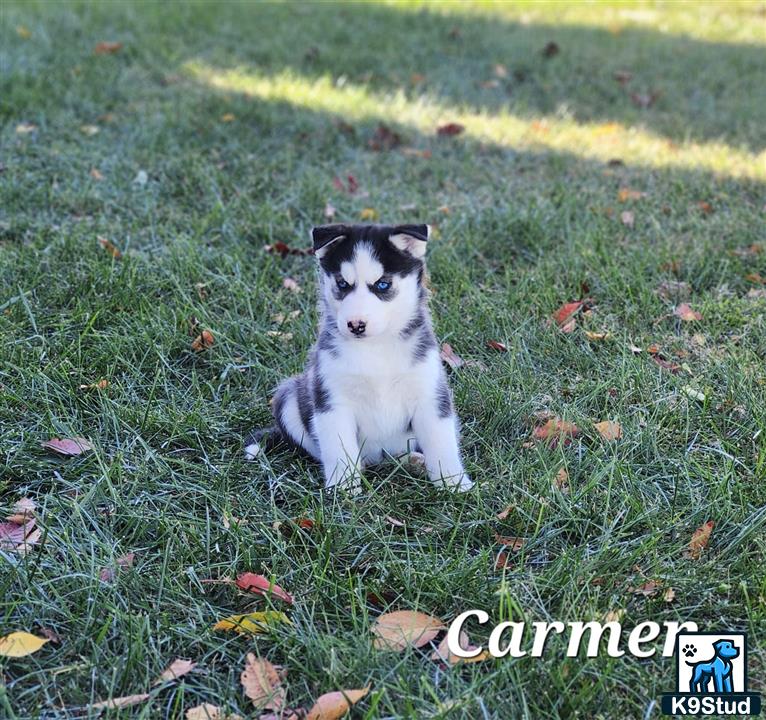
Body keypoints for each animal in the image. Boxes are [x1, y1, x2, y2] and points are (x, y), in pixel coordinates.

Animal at [248, 224, 474, 496]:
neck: (375, 348)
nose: (356, 325)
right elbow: (338, 448)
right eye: (342, 284)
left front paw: (454, 483)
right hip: (289, 396)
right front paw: (344, 488)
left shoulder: (430, 393)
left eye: (383, 284)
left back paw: (413, 461)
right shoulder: (331, 400)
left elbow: (441, 443)